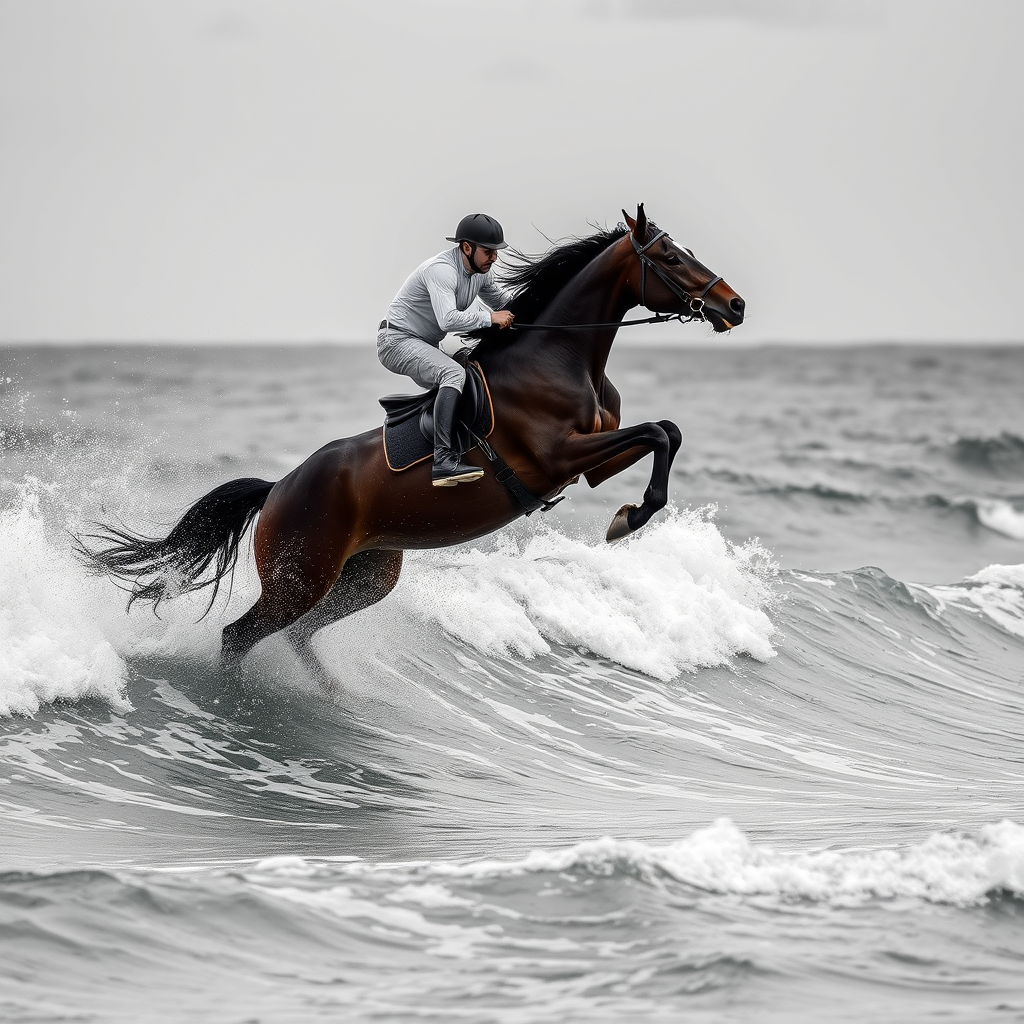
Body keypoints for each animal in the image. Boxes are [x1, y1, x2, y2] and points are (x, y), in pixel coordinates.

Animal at [80, 204, 745, 674]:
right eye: (670, 257)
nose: (734, 305)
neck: (559, 355)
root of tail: (276, 489)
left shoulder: (592, 462)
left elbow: (667, 432)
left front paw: (627, 514)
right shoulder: (560, 457)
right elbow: (658, 432)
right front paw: (628, 519)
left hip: (365, 577)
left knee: (296, 635)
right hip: (300, 578)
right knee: (238, 635)